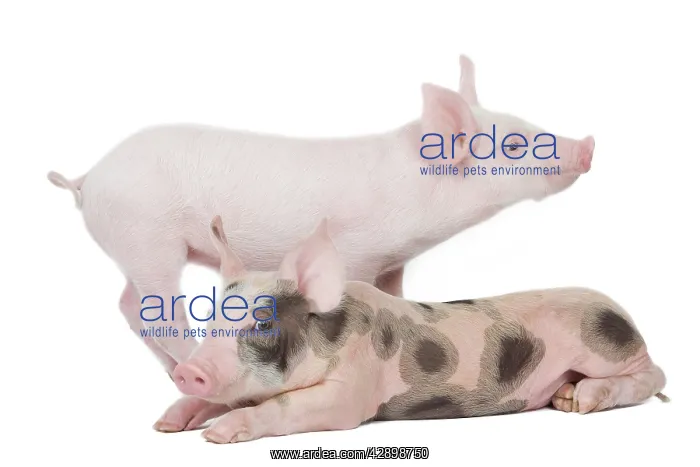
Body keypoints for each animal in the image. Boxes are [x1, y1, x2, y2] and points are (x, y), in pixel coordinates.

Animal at [47, 55, 595, 376]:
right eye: (517, 144)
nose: (587, 144)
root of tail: (88, 178)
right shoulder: (358, 252)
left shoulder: (393, 262)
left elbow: (396, 297)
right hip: (147, 237)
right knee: (155, 312)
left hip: (132, 245)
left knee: (126, 304)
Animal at [154, 217, 667, 443]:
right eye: (213, 316)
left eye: (261, 321)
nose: (187, 370)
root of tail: (623, 314)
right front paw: (166, 425)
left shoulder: (352, 394)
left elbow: (285, 407)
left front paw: (217, 435)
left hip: (606, 344)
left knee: (655, 375)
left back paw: (576, 401)